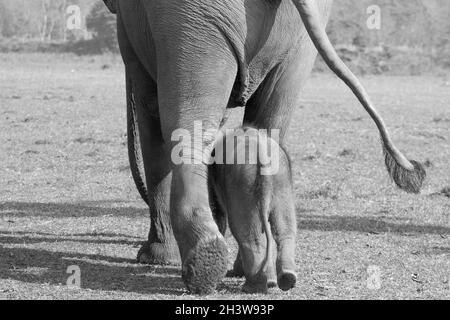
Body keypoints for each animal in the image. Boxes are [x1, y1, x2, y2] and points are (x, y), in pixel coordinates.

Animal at [209, 125, 298, 292]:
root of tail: (261, 152)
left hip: (243, 184)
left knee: (246, 233)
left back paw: (253, 286)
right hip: (281, 181)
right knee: (285, 229)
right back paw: (284, 280)